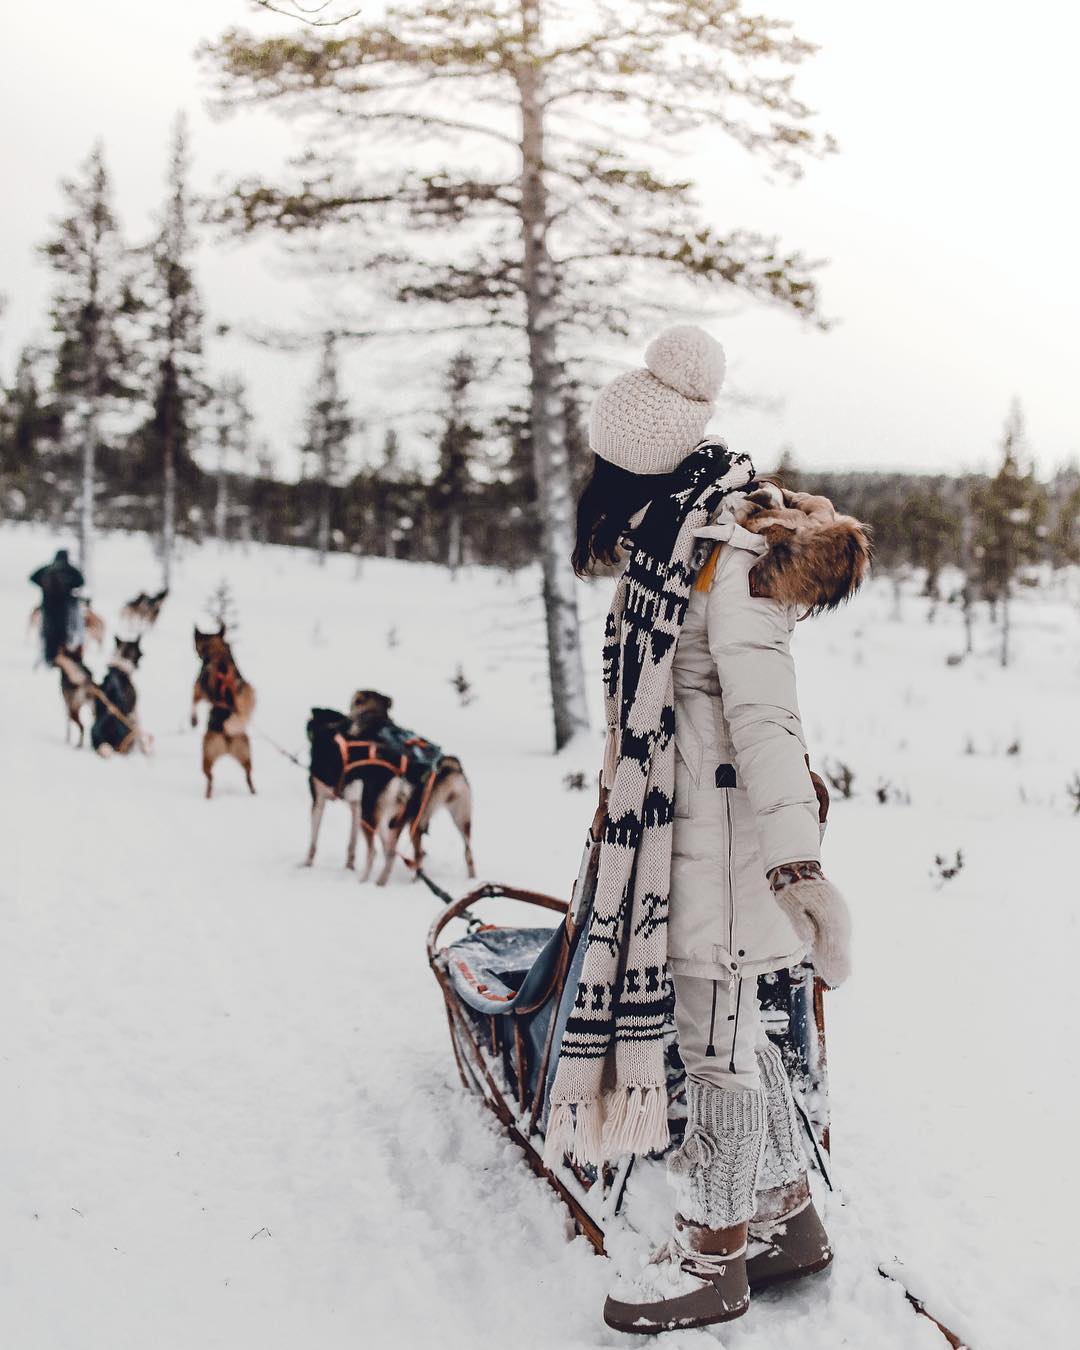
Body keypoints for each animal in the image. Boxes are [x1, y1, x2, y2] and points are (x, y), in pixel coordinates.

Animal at [190, 623, 256, 793]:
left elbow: (193, 703)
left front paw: (193, 721)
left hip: (207, 755)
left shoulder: (197, 690)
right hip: (246, 756)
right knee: (249, 778)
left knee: (210, 779)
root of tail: (228, 739)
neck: (217, 649)